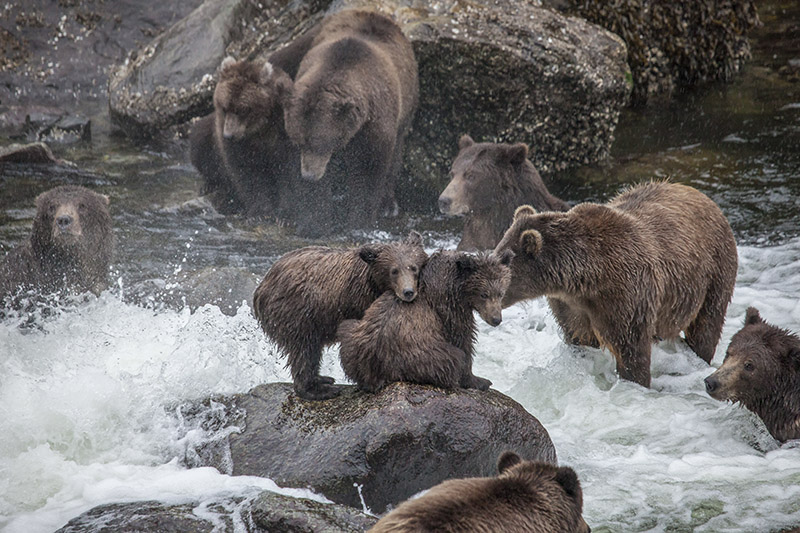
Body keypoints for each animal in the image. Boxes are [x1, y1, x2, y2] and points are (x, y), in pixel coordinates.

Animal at [252, 231, 428, 401]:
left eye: (413, 268)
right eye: (394, 271)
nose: (408, 292)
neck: (373, 284)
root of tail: (261, 286)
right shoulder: (360, 301)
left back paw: (323, 378)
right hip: (298, 311)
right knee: (303, 349)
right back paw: (318, 390)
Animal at [283, 9, 419, 233]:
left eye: (320, 142)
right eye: (300, 141)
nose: (309, 175)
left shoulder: (375, 123)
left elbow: (368, 170)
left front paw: (358, 221)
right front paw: (314, 221)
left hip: (407, 104)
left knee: (396, 154)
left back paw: (388, 205)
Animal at [337, 249, 514, 393]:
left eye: (501, 293)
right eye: (484, 294)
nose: (496, 319)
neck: (458, 286)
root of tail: (372, 369)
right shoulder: (450, 308)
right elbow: (463, 340)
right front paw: (480, 381)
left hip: (354, 335)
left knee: (346, 328)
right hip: (416, 355)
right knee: (451, 358)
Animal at [493, 181, 738, 388]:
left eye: (503, 261)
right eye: (495, 252)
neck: (585, 279)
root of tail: (705, 197)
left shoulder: (626, 296)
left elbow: (631, 350)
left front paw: (635, 381)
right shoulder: (571, 306)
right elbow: (579, 335)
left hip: (713, 273)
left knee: (707, 325)